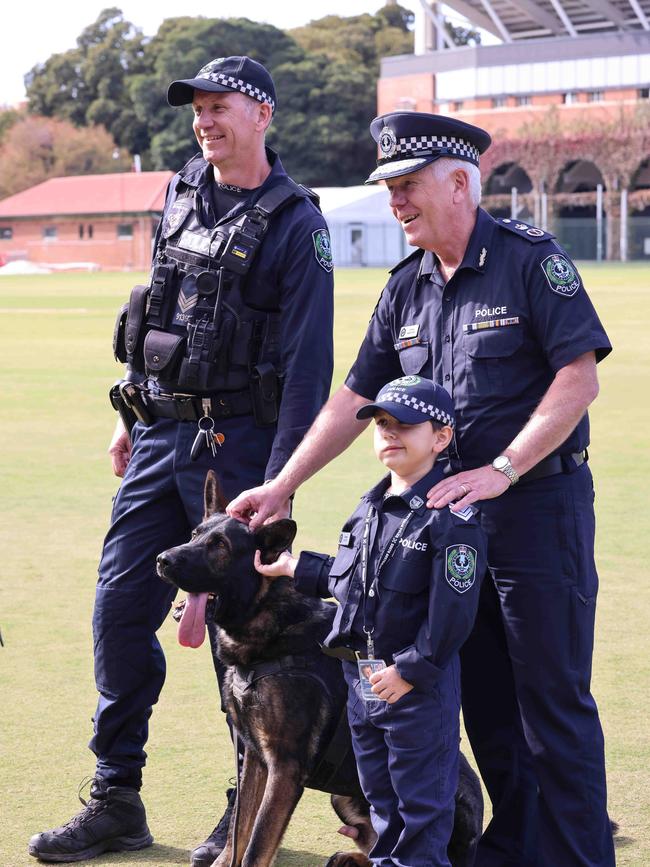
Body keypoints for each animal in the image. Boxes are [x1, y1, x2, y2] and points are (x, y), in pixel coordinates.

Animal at [157, 474, 480, 867]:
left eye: (219, 546)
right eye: (194, 534)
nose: (162, 560)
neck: (267, 620)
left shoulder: (284, 767)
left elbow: (256, 845)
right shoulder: (255, 759)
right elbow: (238, 833)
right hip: (343, 797)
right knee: (372, 844)